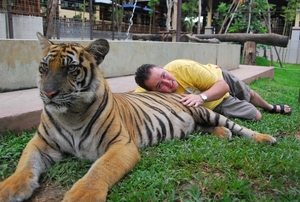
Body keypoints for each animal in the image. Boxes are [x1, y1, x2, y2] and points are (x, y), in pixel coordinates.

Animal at [0, 32, 276, 201]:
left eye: (71, 69)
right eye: (44, 68)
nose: (47, 93)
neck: (71, 115)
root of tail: (179, 93)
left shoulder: (121, 146)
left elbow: (99, 169)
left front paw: (81, 196)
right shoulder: (40, 143)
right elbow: (25, 165)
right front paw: (8, 189)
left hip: (204, 111)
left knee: (240, 127)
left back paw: (264, 138)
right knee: (206, 128)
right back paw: (222, 134)